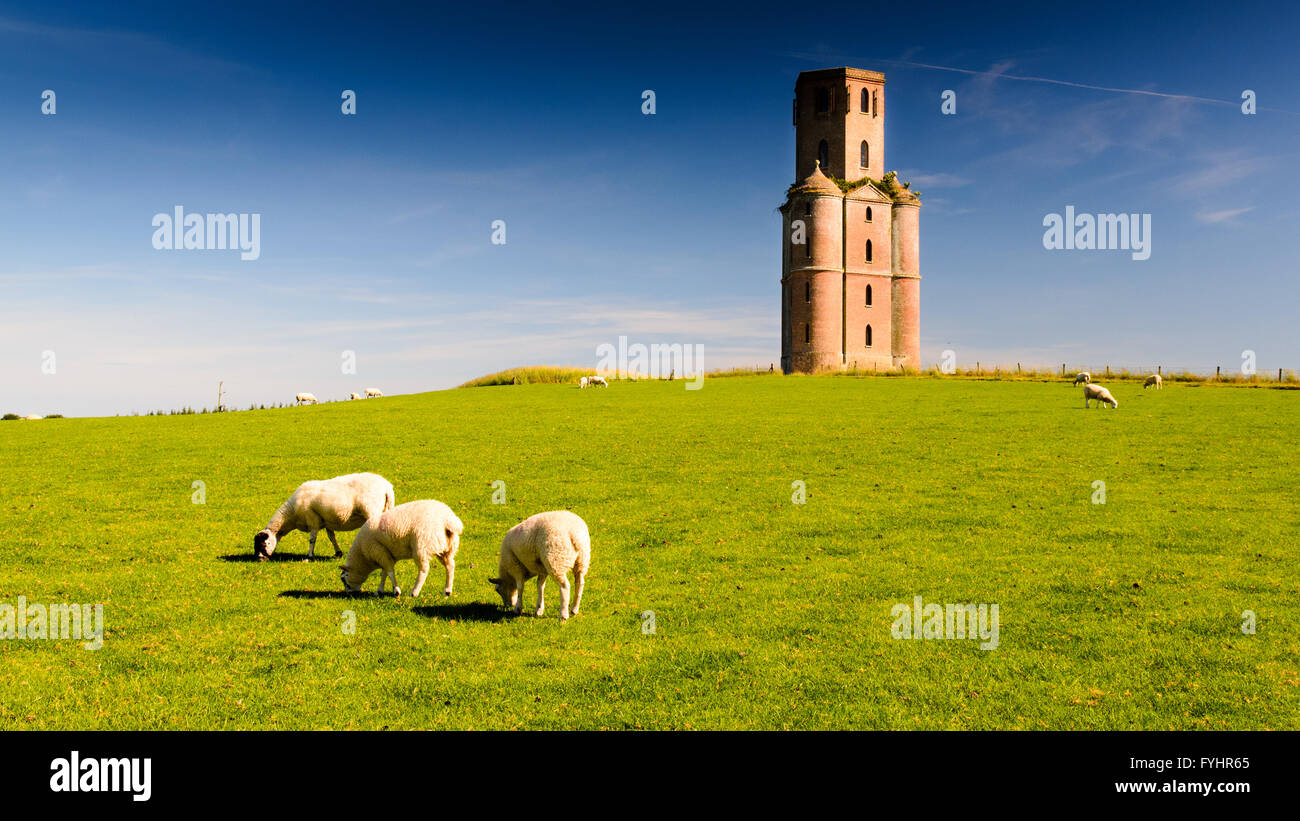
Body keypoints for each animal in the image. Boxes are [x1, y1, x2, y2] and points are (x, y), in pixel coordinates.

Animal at [253, 470, 392, 561]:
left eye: (264, 544)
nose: (259, 559)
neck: (291, 514)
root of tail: (386, 487)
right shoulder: (326, 521)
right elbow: (331, 537)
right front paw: (338, 553)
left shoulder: (312, 519)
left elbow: (312, 539)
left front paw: (309, 556)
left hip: (372, 510)